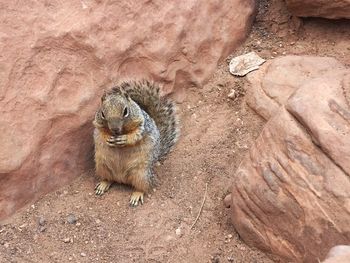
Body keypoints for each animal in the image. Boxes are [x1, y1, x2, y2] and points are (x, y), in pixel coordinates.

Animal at [92, 79, 179, 207]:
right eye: (102, 113)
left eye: (125, 111)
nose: (115, 129)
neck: (121, 131)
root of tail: (121, 178)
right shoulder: (97, 124)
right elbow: (100, 131)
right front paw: (108, 138)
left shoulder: (141, 124)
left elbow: (136, 135)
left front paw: (124, 139)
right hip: (102, 166)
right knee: (109, 179)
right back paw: (103, 185)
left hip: (141, 174)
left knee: (143, 187)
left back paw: (136, 195)